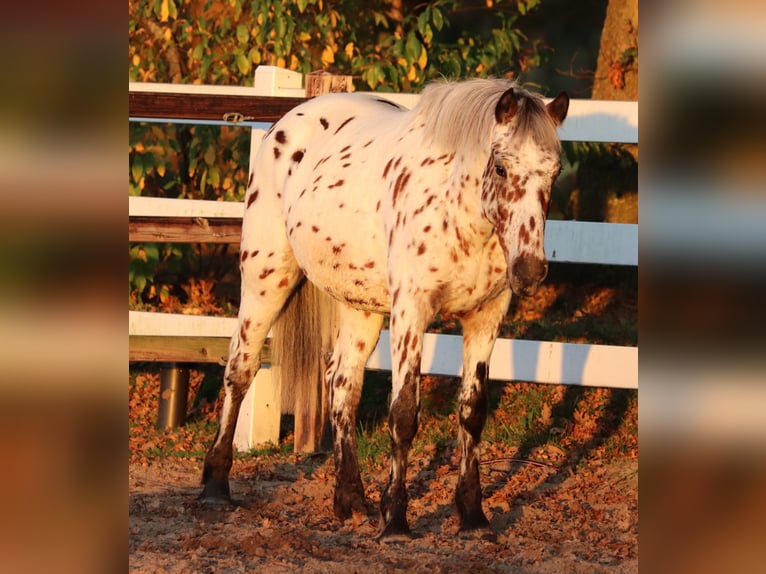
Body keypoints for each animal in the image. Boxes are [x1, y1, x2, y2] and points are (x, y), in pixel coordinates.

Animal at [201, 79, 568, 544]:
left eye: (554, 173)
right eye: (501, 168)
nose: (530, 269)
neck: (456, 210)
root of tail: (286, 123)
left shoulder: (486, 317)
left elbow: (472, 412)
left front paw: (473, 515)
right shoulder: (411, 311)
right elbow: (404, 414)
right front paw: (395, 520)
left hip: (360, 306)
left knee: (342, 383)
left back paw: (349, 499)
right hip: (266, 278)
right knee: (240, 371)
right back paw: (215, 486)